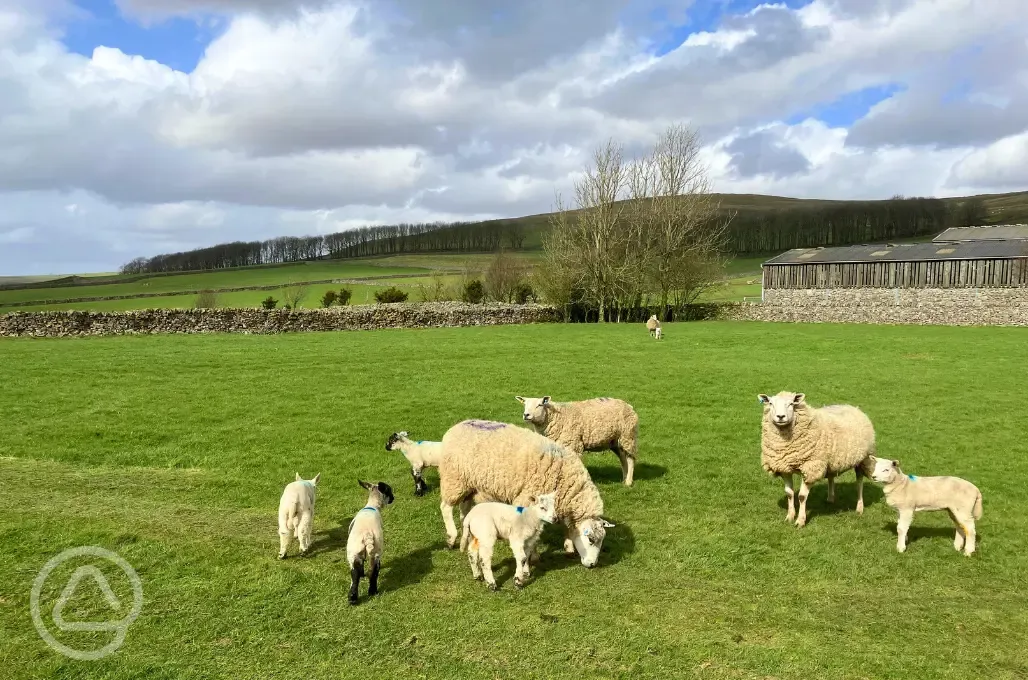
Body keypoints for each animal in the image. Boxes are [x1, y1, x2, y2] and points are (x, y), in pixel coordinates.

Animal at [437, 419, 612, 567]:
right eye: (590, 539)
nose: (592, 564)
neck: (565, 483)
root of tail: (456, 426)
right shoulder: (529, 502)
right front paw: (534, 557)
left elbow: (567, 528)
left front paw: (568, 547)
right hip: (454, 479)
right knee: (445, 507)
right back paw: (451, 537)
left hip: (469, 484)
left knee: (464, 510)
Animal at [756, 388, 875, 526]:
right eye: (770, 403)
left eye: (791, 404)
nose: (780, 417)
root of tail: (853, 407)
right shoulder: (784, 467)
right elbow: (789, 494)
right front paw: (790, 516)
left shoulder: (810, 467)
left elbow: (802, 496)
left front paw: (800, 521)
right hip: (831, 461)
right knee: (831, 477)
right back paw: (830, 498)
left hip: (863, 458)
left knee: (859, 482)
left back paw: (859, 507)